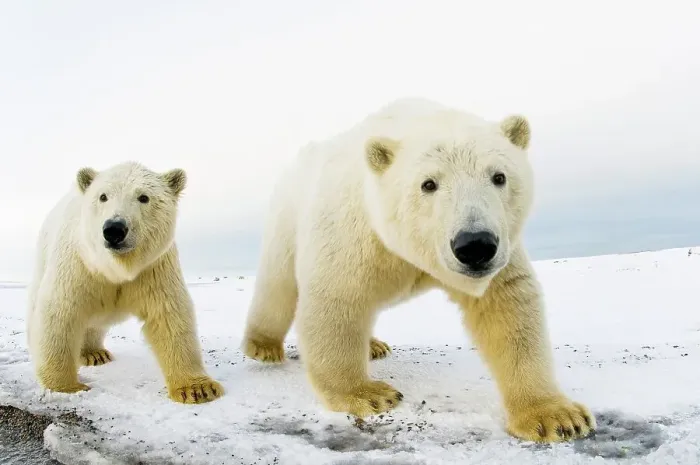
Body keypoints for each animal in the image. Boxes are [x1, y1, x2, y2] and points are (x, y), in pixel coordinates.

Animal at [26, 161, 224, 404]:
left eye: (144, 197)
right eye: (103, 196)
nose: (114, 229)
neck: (115, 268)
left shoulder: (154, 268)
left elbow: (169, 315)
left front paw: (198, 389)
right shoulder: (77, 266)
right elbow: (60, 312)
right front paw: (66, 386)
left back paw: (94, 353)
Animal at [241, 97, 595, 443]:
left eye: (499, 176)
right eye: (428, 184)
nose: (475, 245)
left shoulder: (503, 247)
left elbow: (507, 306)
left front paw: (556, 417)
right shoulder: (353, 229)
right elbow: (338, 298)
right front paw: (369, 394)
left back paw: (373, 345)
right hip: (286, 221)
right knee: (277, 286)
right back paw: (263, 346)